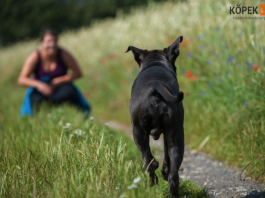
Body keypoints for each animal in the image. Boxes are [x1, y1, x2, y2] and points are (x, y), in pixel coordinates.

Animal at [125, 36, 184, 197]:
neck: (156, 62)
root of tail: (155, 84)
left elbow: (150, 155)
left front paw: (158, 165)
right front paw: (162, 168)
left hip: (138, 131)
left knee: (146, 161)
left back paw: (152, 182)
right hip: (175, 133)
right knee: (173, 171)